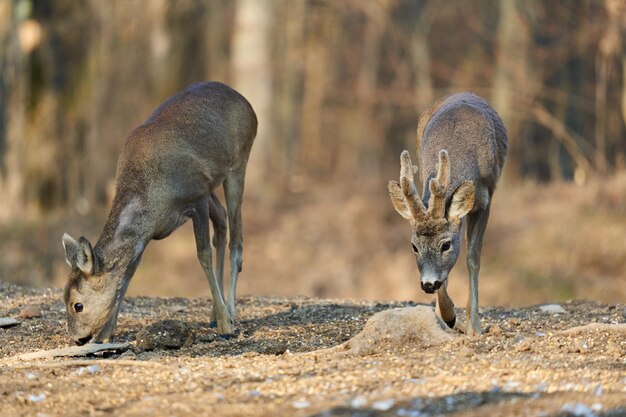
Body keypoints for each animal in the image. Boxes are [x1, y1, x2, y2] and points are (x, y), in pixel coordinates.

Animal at [62, 82, 258, 344]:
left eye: (78, 305)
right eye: (64, 299)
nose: (78, 339)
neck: (154, 196)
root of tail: (246, 103)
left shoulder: (197, 196)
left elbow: (202, 254)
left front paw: (226, 327)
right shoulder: (148, 232)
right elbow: (127, 274)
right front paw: (106, 333)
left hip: (238, 163)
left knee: (236, 240)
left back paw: (231, 314)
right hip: (213, 184)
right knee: (222, 222)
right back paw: (216, 314)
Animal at [386, 92, 508, 334]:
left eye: (446, 245)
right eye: (414, 246)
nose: (428, 284)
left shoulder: (485, 199)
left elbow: (473, 258)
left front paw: (474, 327)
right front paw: (448, 315)